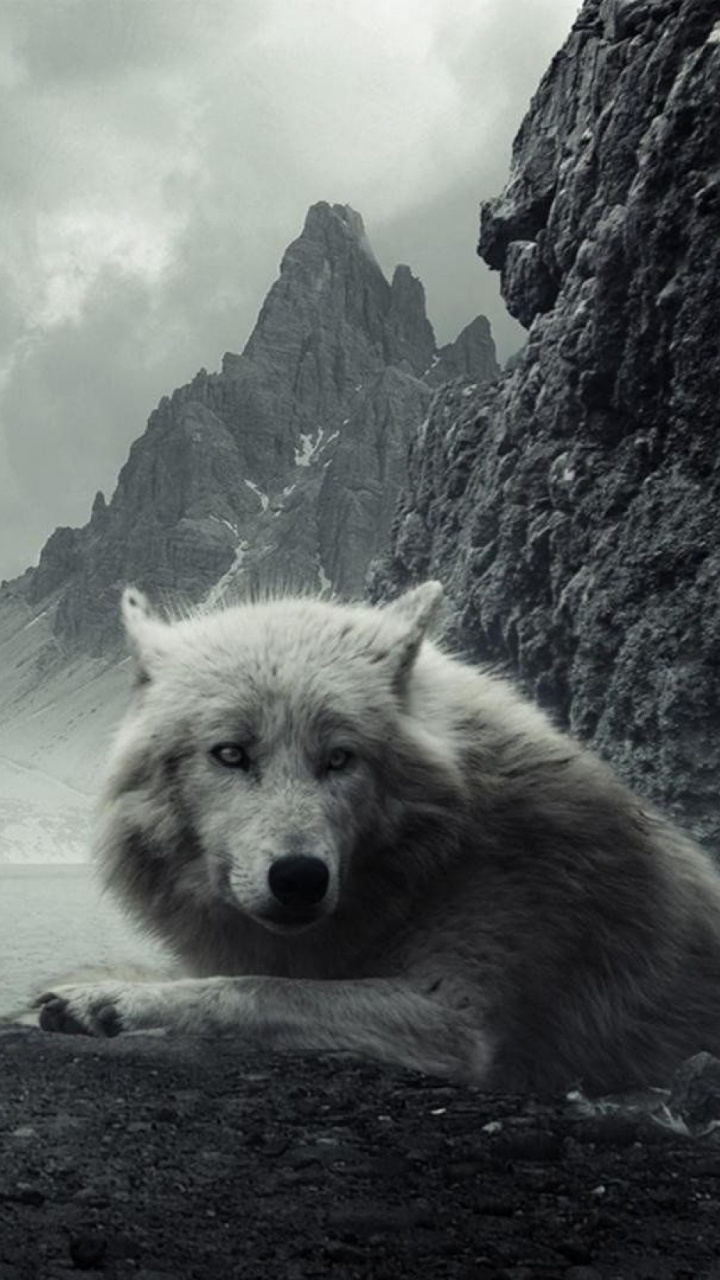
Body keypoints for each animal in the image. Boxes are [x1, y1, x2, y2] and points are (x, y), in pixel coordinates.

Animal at [36, 582, 720, 1093]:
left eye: (340, 758)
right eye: (230, 753)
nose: (299, 878)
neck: (434, 863)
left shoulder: (456, 1022)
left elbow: (254, 990)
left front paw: (110, 1001)